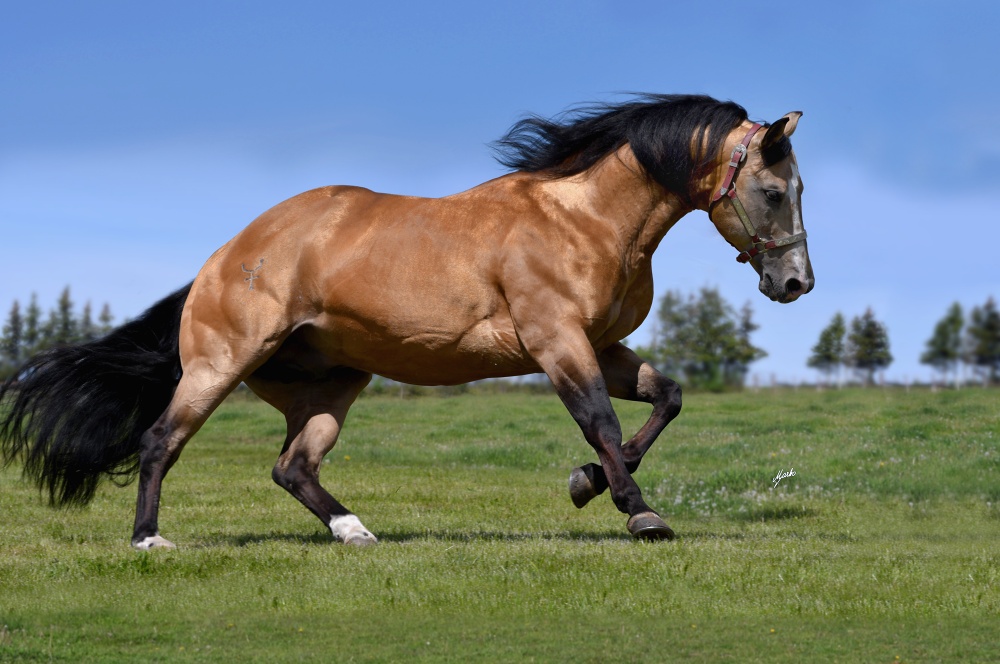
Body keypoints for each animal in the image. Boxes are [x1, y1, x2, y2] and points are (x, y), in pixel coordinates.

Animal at [0, 94, 812, 548]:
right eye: (774, 191)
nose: (796, 282)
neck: (583, 220)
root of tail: (223, 258)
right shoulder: (557, 343)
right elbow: (601, 423)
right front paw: (637, 512)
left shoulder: (604, 345)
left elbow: (666, 399)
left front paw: (586, 485)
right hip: (219, 364)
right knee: (160, 441)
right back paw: (149, 540)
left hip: (331, 384)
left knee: (293, 466)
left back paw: (355, 531)